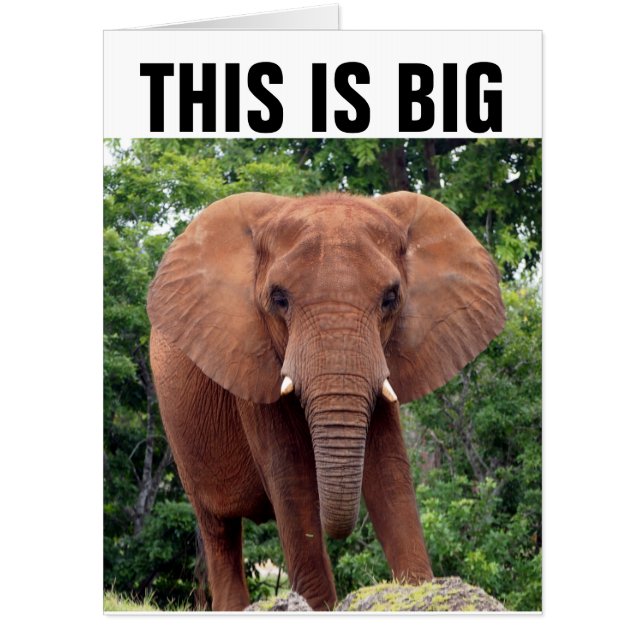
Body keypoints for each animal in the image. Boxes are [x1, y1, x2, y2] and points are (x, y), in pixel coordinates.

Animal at [147, 191, 505, 611]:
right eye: (279, 299)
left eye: (391, 298)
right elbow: (291, 477)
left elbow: (390, 471)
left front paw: (420, 592)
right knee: (218, 529)